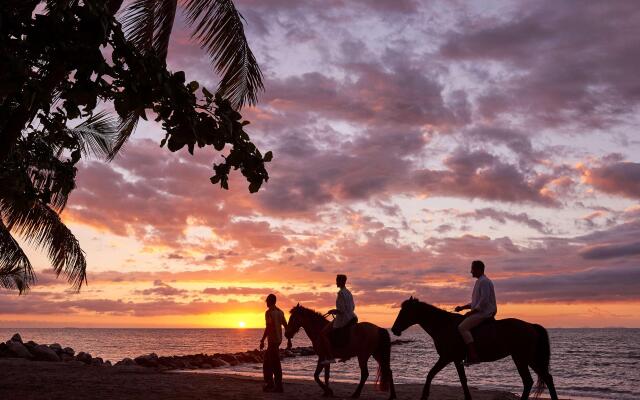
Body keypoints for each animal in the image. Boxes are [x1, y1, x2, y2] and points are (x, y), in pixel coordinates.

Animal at [388, 296, 556, 400]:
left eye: (405, 311)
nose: (394, 329)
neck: (444, 325)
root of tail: (531, 326)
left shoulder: (446, 357)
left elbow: (430, 374)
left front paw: (424, 396)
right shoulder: (456, 359)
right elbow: (463, 380)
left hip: (526, 357)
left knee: (541, 379)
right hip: (521, 358)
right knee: (532, 380)